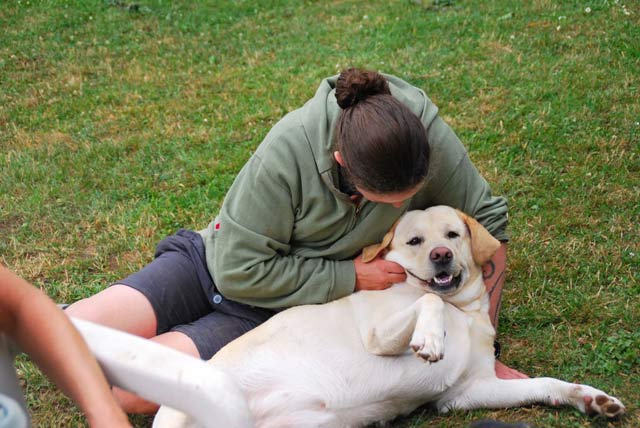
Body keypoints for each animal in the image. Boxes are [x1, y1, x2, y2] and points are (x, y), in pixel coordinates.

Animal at [153, 205, 625, 428]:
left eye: (453, 234)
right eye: (415, 241)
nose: (442, 255)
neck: (462, 311)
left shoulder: (465, 393)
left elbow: (545, 384)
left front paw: (589, 399)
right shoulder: (379, 334)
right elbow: (429, 305)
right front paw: (431, 339)